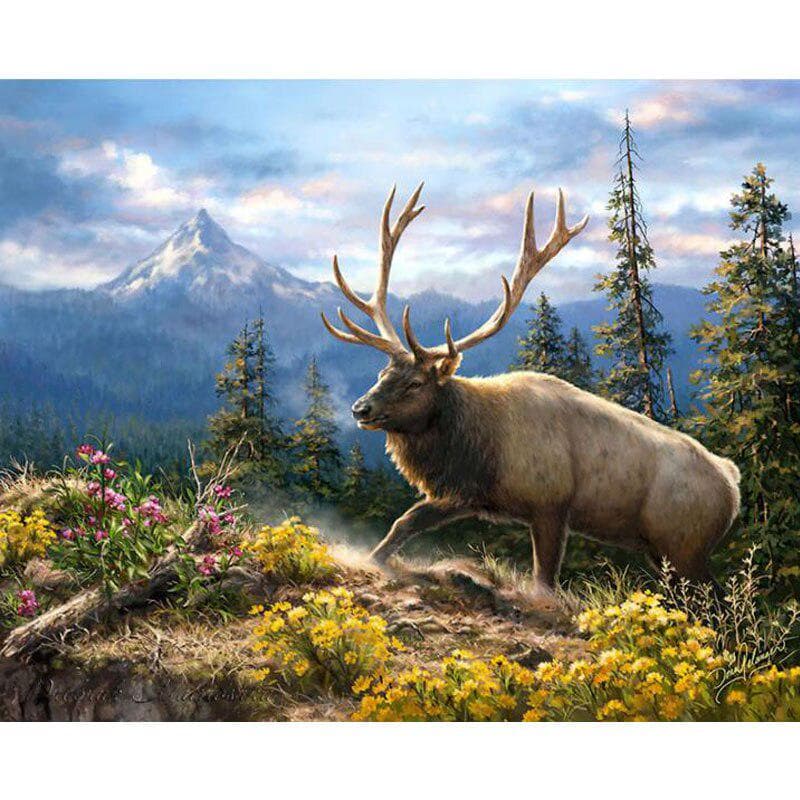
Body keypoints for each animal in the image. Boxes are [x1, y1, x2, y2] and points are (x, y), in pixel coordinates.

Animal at [321, 183, 741, 599]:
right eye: (382, 371)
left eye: (415, 383)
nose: (360, 408)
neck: (479, 445)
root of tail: (732, 484)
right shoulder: (467, 494)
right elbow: (405, 522)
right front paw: (371, 557)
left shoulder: (551, 504)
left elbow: (545, 580)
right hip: (664, 553)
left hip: (685, 546)